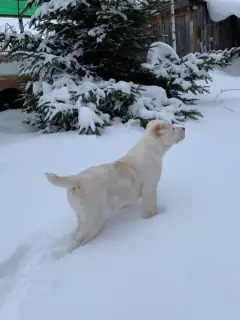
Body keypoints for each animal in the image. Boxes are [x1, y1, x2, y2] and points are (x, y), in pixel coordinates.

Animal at [45, 120, 185, 250]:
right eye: (172, 128)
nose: (184, 128)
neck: (152, 149)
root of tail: (77, 180)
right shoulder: (149, 189)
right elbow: (152, 208)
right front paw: (154, 218)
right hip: (93, 217)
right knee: (79, 241)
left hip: (82, 215)